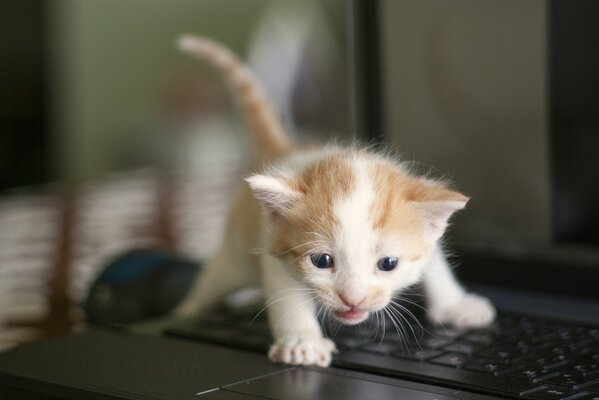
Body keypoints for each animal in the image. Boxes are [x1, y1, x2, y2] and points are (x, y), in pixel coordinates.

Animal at [173, 36, 496, 368]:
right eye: (322, 260)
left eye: (388, 264)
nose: (352, 299)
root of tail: (287, 151)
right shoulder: (273, 249)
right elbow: (286, 296)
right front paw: (301, 343)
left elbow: (435, 258)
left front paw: (456, 305)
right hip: (234, 257)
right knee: (212, 281)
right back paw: (185, 311)